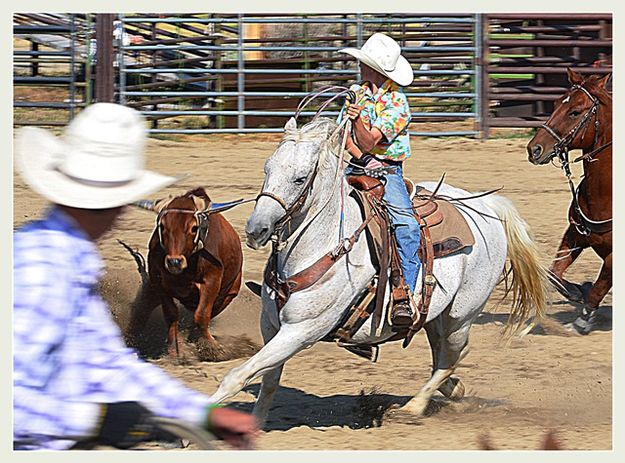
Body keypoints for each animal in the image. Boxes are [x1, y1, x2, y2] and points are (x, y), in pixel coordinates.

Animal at [127, 188, 244, 356]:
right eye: (162, 226)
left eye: (194, 228)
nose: (174, 261)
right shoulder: (158, 283)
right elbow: (171, 314)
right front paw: (173, 349)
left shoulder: (212, 281)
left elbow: (202, 315)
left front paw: (211, 346)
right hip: (151, 291)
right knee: (142, 310)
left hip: (229, 292)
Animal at [211, 117, 544, 428]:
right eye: (267, 169)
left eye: (300, 178)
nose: (256, 229)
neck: (325, 243)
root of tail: (487, 205)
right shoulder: (271, 325)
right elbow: (268, 381)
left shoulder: (301, 330)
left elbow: (238, 375)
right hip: (436, 317)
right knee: (444, 356)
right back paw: (453, 390)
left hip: (460, 315)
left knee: (451, 356)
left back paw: (412, 408)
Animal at [528, 69, 608, 336]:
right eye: (554, 104)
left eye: (574, 112)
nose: (534, 149)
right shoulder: (575, 233)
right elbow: (554, 273)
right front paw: (577, 289)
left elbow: (601, 286)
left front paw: (583, 320)